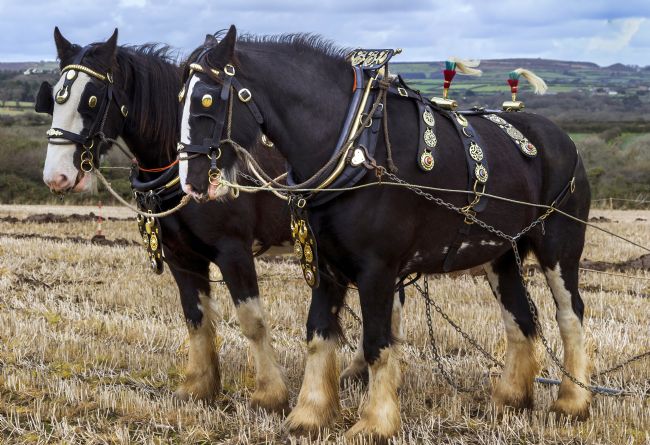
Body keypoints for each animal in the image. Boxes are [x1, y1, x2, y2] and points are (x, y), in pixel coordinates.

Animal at [36, 27, 299, 412]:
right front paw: (200, 387)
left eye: (92, 100)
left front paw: (270, 394)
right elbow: (196, 318)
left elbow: (252, 321)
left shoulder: (234, 251)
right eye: (54, 99)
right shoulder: (181, 256)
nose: (56, 177)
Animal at [179, 25, 592, 439]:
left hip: (559, 246)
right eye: (181, 97)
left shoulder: (378, 268)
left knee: (570, 313)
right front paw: (310, 413)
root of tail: (563, 140)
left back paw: (572, 401)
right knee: (520, 319)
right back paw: (510, 398)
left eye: (207, 99)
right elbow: (317, 333)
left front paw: (375, 422)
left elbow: (378, 341)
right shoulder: (324, 264)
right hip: (501, 253)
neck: (354, 145)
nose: (191, 182)